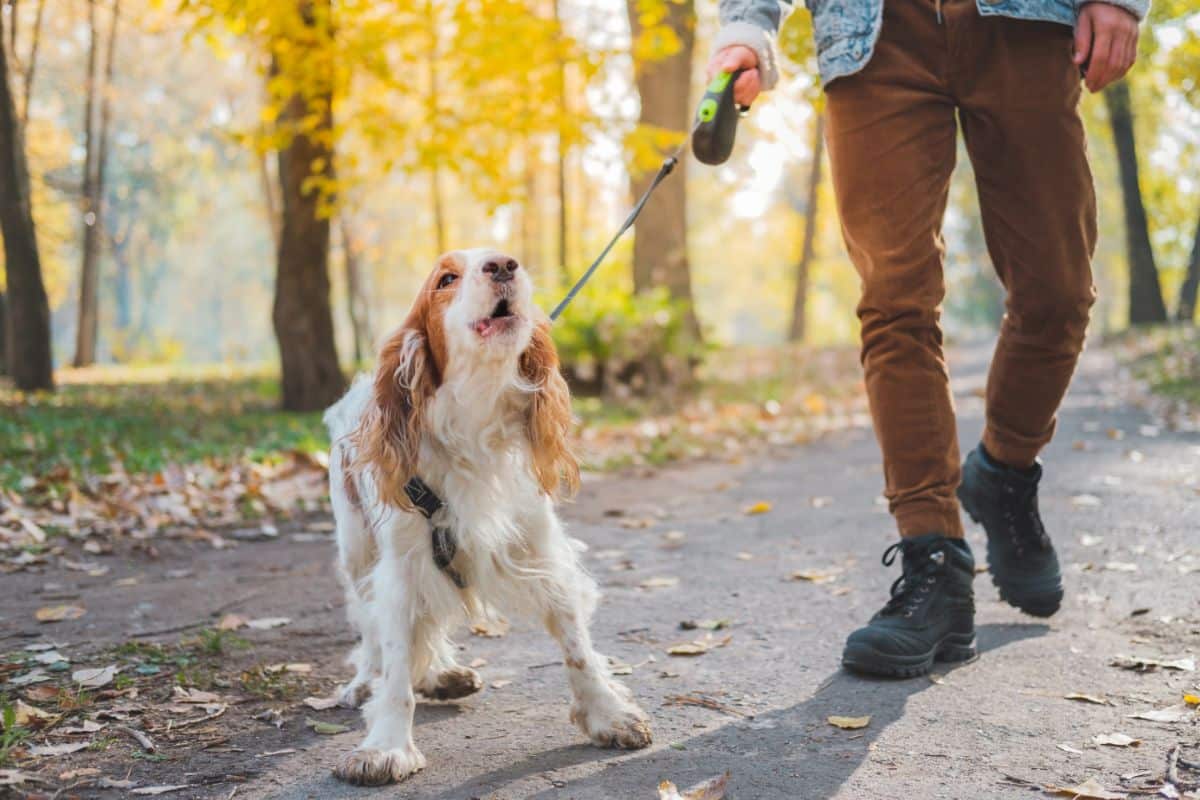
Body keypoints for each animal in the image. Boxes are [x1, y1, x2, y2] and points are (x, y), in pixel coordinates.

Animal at [324, 247, 652, 786]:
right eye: (446, 279)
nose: (503, 265)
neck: (473, 421)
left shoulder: (541, 549)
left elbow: (577, 646)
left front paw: (608, 714)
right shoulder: (401, 566)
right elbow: (395, 663)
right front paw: (386, 746)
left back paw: (442, 673)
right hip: (357, 551)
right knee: (369, 627)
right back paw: (365, 680)